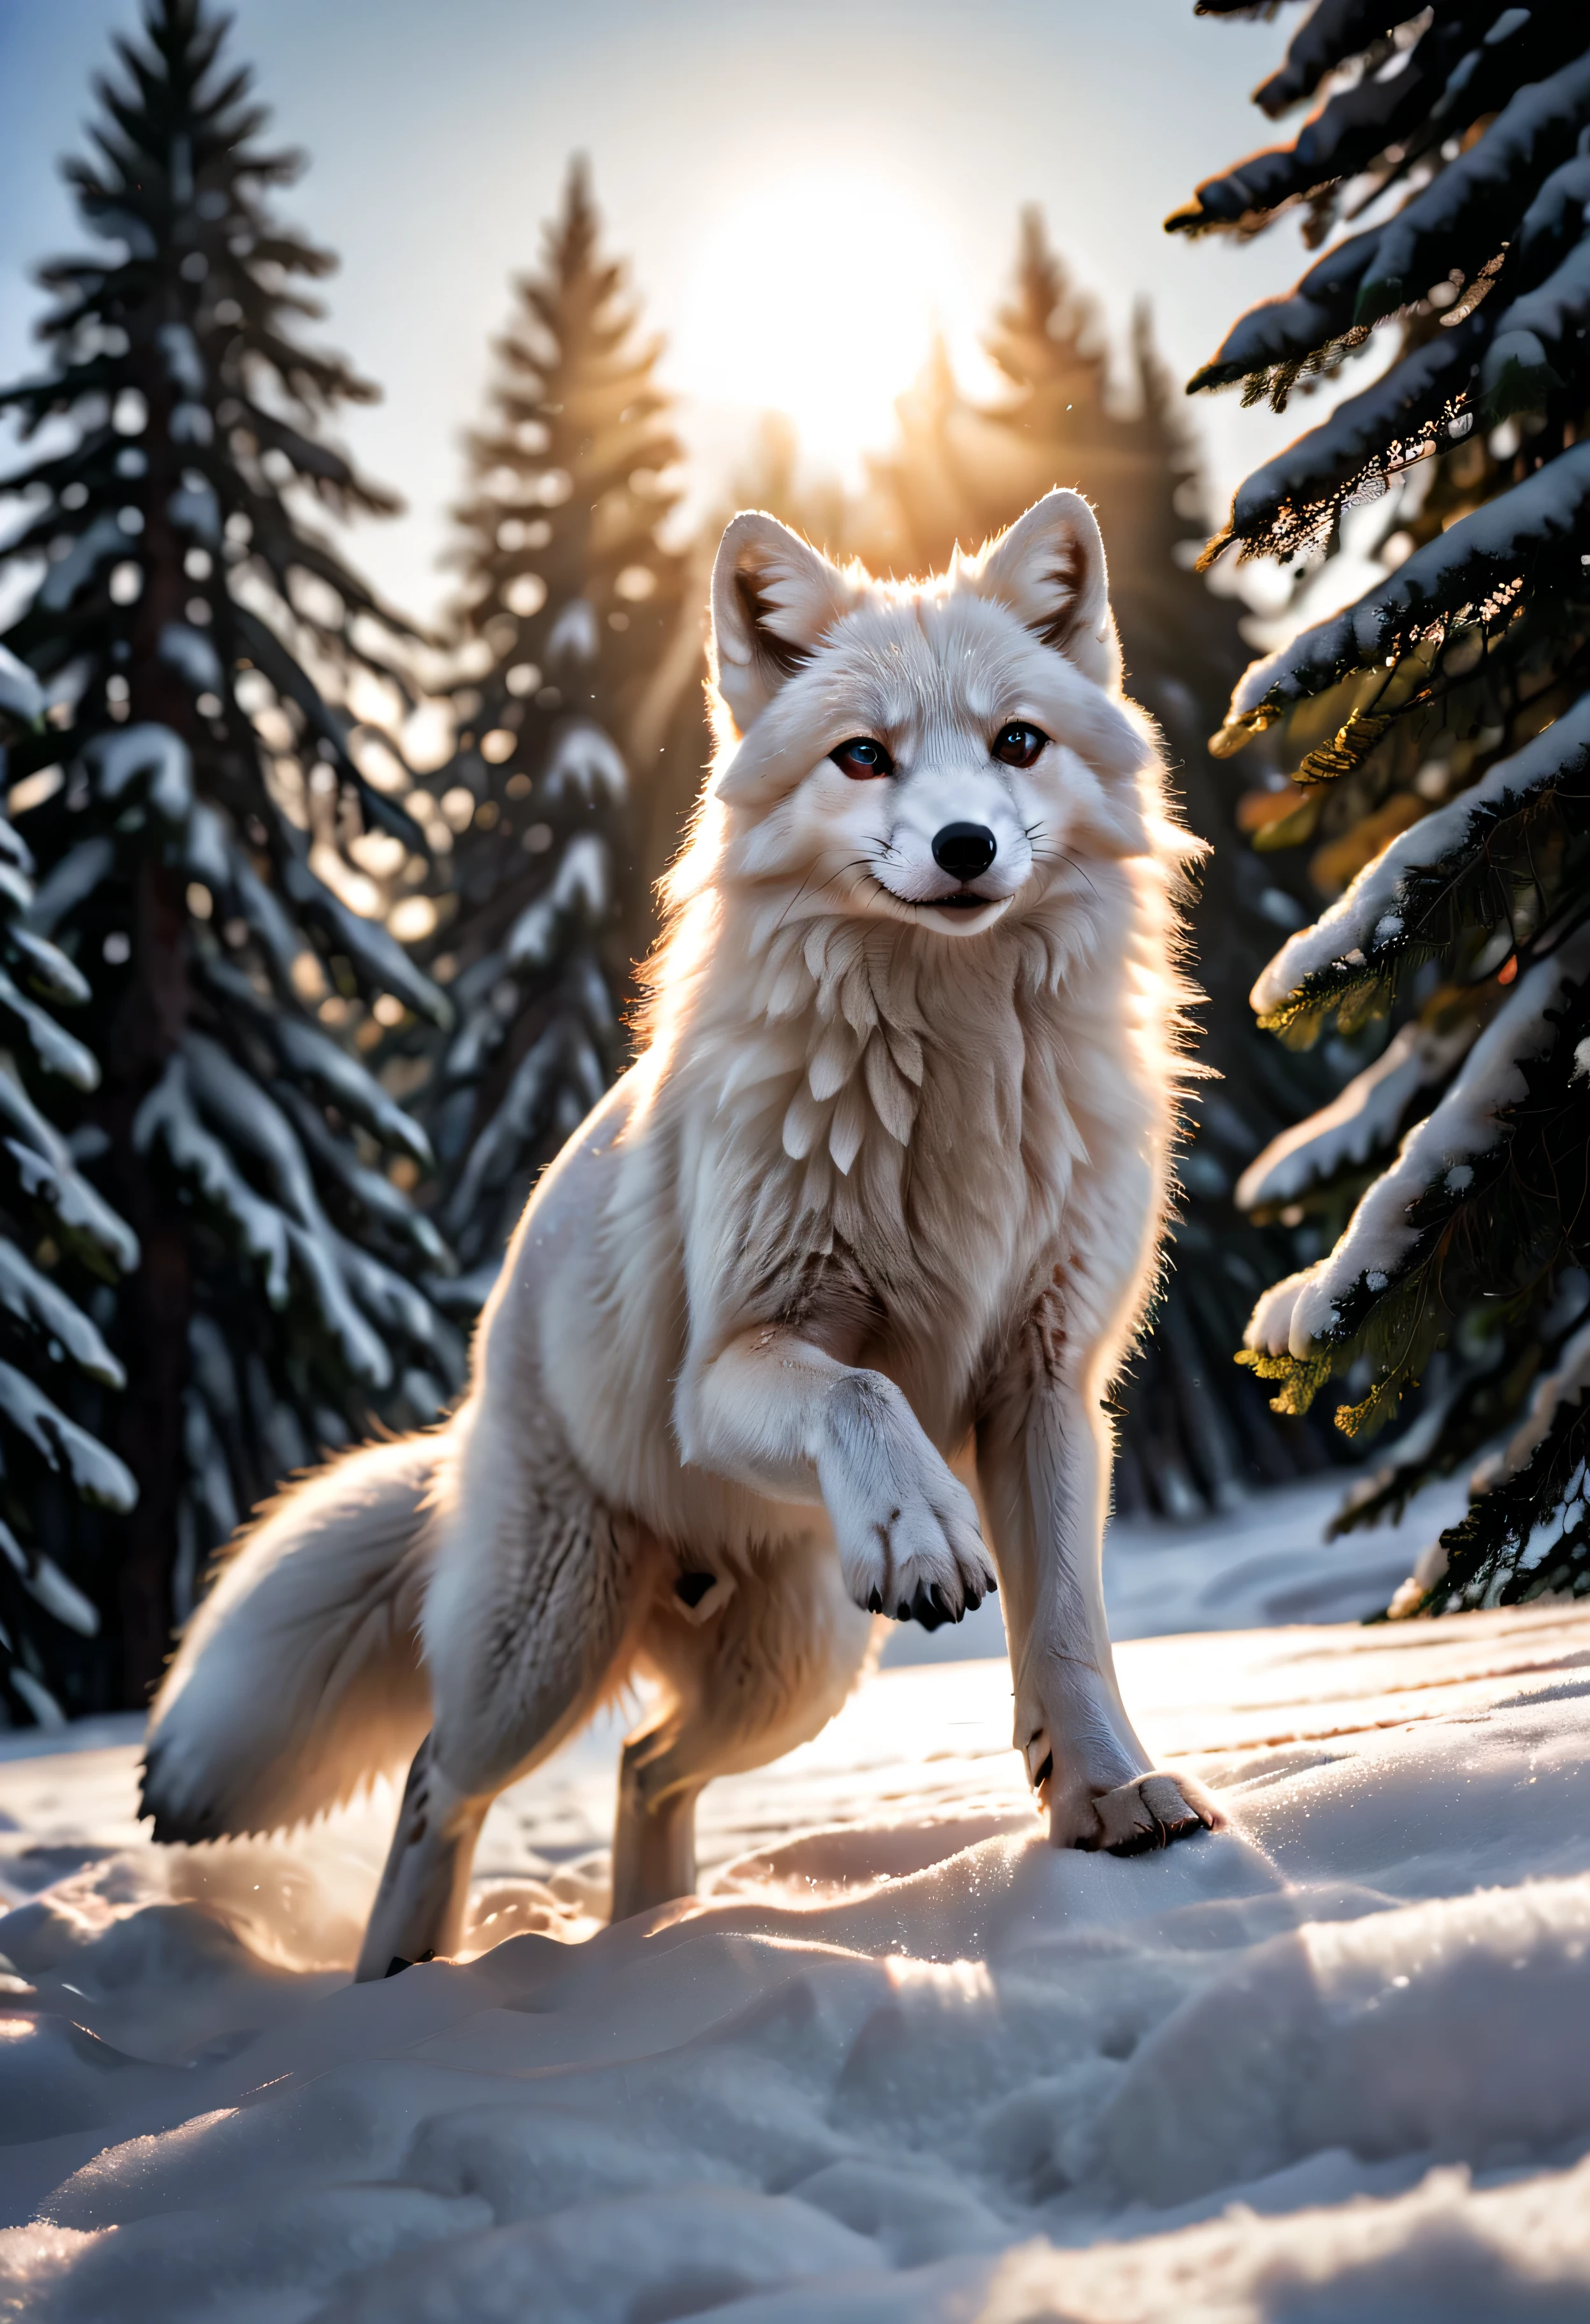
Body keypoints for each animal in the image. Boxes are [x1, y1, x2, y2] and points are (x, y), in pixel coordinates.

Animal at [143, 495, 1227, 1980]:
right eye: (863, 755)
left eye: (1018, 742)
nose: (964, 847)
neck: (949, 1068)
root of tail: (471, 1412)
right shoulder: (725, 1373)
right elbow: (866, 1385)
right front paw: (925, 1530)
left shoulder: (1046, 1389)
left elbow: (1066, 1628)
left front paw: (1114, 1798)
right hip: (546, 1652)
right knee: (440, 1777)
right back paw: (407, 1979)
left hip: (795, 1671)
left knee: (647, 1764)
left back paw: (657, 1936)